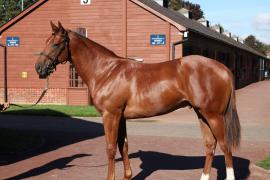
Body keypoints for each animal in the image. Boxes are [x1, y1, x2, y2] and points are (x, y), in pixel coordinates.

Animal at [34, 22, 240, 180]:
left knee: (225, 147)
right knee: (210, 146)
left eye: (56, 44)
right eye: (46, 42)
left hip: (214, 116)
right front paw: (127, 175)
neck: (105, 71)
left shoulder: (110, 116)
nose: (39, 68)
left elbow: (110, 148)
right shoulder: (121, 117)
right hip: (201, 114)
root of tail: (223, 68)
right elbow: (123, 146)